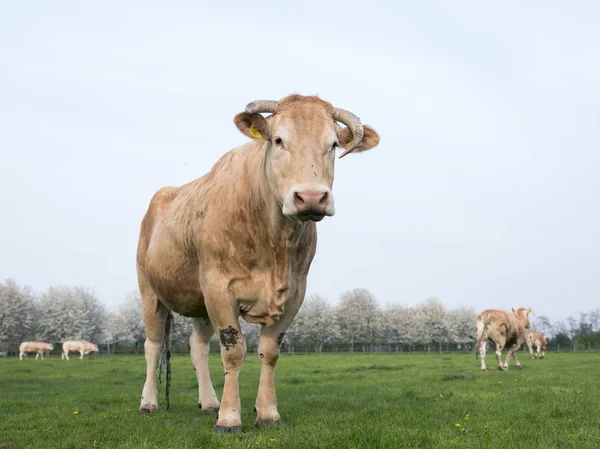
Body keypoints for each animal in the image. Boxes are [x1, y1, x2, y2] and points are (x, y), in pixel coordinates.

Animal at [136, 93, 380, 430]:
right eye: (278, 140)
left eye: (333, 144)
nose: (311, 197)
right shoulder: (219, 286)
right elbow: (233, 351)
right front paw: (229, 419)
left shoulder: (295, 292)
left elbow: (270, 351)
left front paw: (267, 413)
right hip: (150, 291)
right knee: (153, 344)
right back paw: (149, 403)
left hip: (199, 301)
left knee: (197, 347)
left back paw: (209, 402)